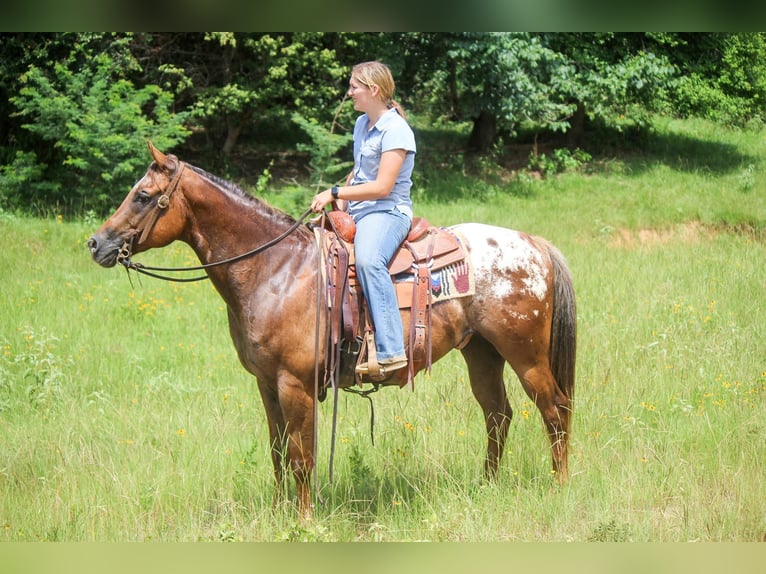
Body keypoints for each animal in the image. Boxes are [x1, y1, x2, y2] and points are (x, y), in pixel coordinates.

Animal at [87, 144, 576, 520]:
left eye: (143, 196)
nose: (96, 243)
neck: (276, 269)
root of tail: (535, 245)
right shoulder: (266, 383)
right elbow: (277, 451)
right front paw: (280, 512)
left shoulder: (295, 383)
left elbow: (302, 456)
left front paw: (303, 520)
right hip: (482, 352)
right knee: (498, 415)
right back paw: (486, 485)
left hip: (526, 355)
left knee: (555, 411)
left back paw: (560, 487)